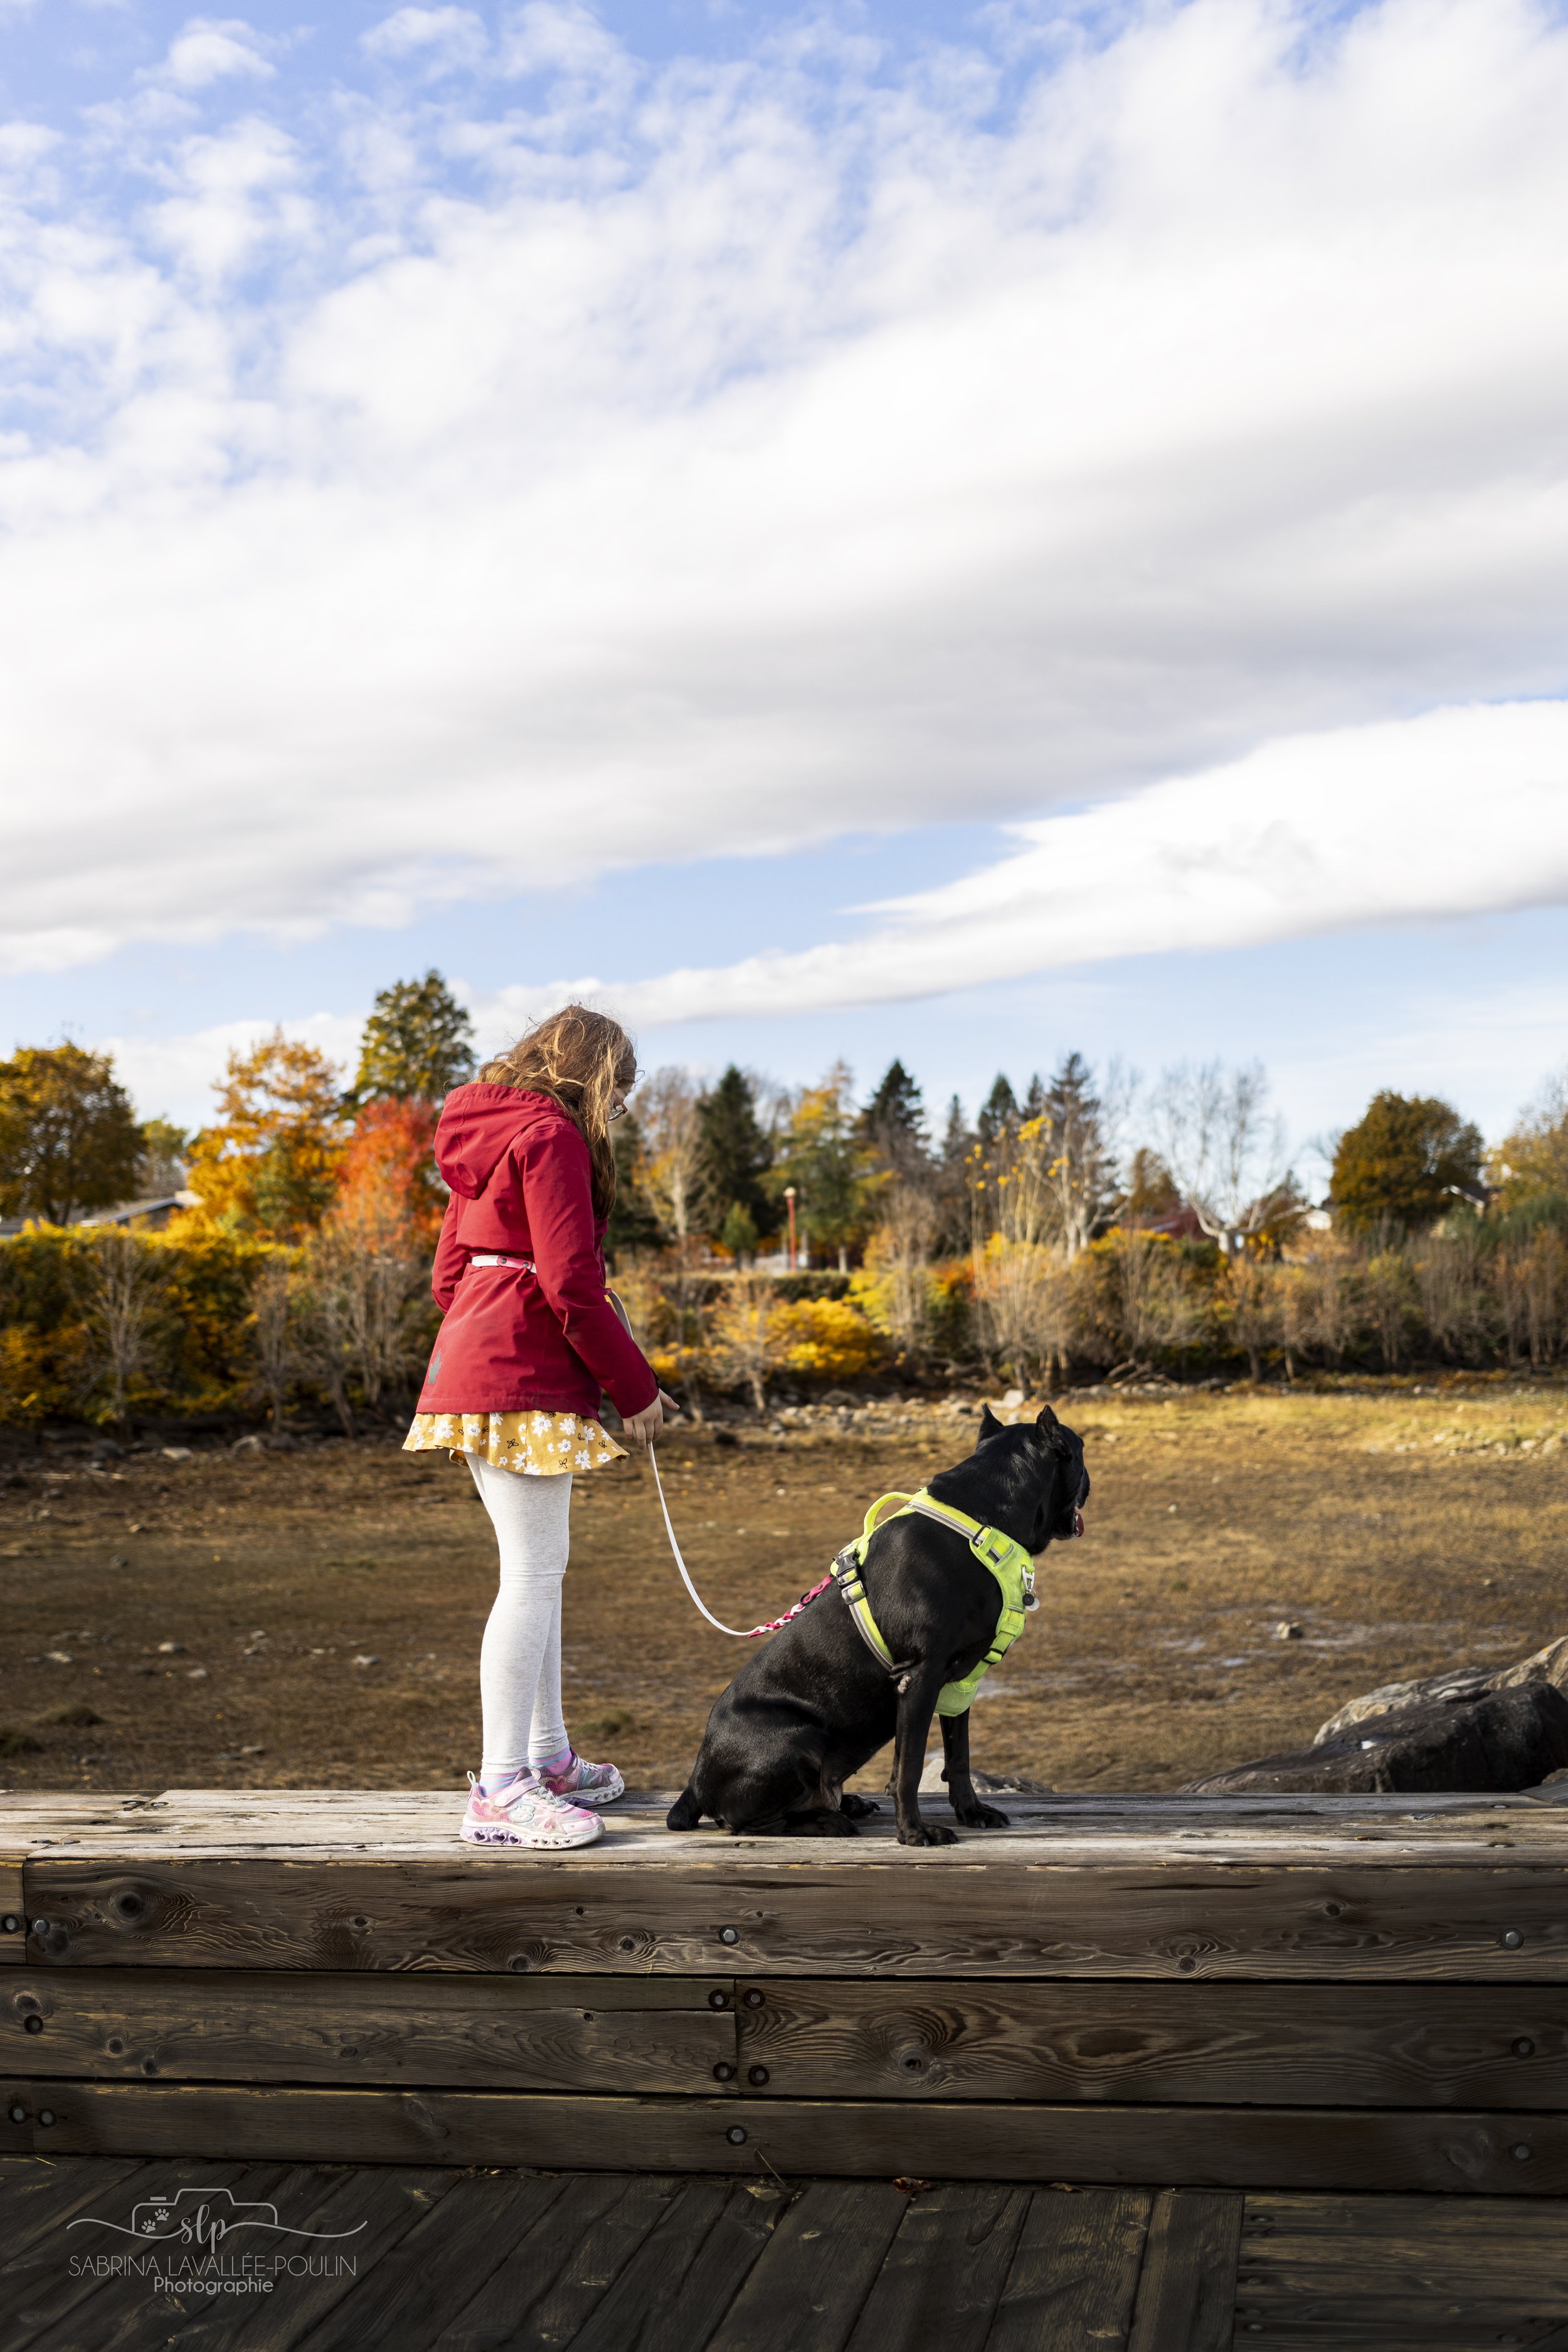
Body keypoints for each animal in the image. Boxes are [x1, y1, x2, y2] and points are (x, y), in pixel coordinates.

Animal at [667, 1402, 1091, 1844]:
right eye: (1081, 1451)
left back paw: (847, 1804)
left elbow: (958, 1758)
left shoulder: (960, 1686)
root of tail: (694, 1784)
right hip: (798, 1737)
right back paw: (828, 1821)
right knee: (743, 1821)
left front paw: (971, 1811)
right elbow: (909, 1768)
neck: (983, 1521)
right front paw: (914, 1833)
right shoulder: (919, 1677)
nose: (1089, 1481)